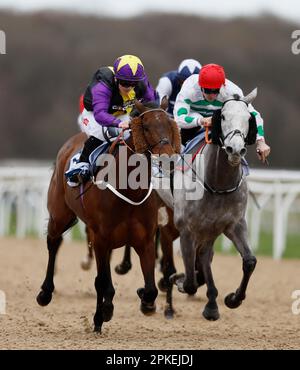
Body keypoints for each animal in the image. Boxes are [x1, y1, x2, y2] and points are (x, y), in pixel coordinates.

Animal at [35, 98, 180, 332]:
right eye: (146, 127)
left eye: (170, 124)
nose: (169, 159)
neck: (129, 190)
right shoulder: (100, 237)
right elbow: (102, 282)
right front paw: (102, 314)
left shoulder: (145, 240)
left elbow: (150, 288)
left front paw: (144, 300)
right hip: (59, 214)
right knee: (54, 243)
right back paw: (45, 293)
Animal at [156, 86, 258, 320]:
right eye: (223, 116)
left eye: (248, 118)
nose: (235, 150)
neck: (217, 183)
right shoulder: (186, 229)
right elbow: (190, 283)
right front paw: (179, 280)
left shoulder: (232, 224)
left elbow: (249, 261)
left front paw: (232, 299)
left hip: (209, 229)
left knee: (204, 256)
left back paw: (211, 302)